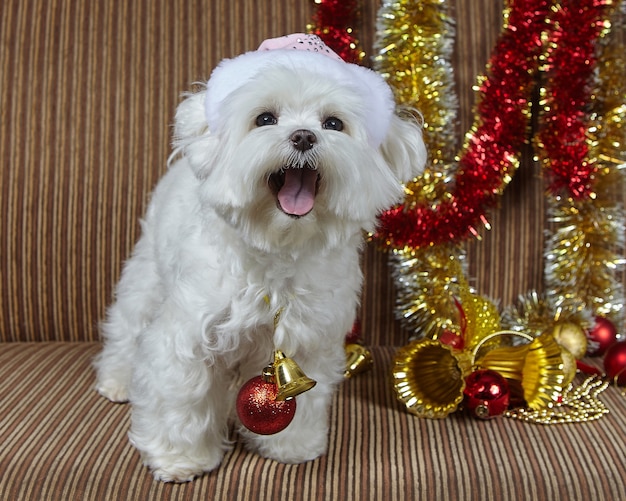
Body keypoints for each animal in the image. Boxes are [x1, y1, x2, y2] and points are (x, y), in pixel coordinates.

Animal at [94, 34, 424, 480]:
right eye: (265, 118)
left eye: (333, 124)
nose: (303, 136)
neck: (276, 249)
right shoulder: (186, 338)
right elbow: (180, 398)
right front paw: (179, 458)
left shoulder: (307, 344)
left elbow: (301, 403)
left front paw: (292, 446)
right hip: (145, 277)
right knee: (127, 327)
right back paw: (116, 380)